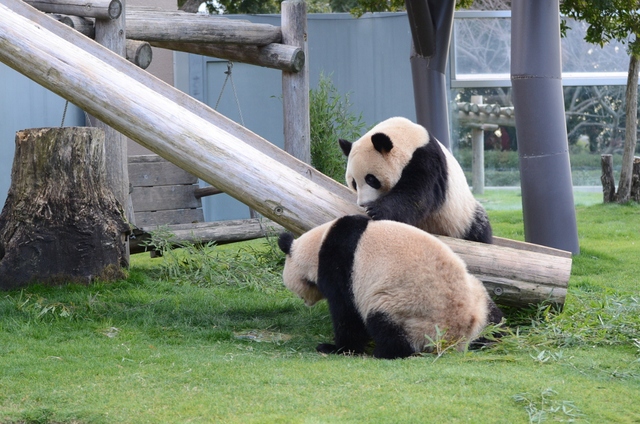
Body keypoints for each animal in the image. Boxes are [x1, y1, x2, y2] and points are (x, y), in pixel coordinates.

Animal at [278, 215, 502, 358]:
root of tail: (458, 337)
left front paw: (335, 347)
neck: (318, 244)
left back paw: (383, 351)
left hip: (410, 311)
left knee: (385, 323)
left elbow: (347, 312)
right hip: (477, 295)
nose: (305, 302)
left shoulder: (341, 265)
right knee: (495, 319)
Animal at [338, 116, 492, 243]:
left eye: (371, 179)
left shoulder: (426, 159)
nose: (363, 204)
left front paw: (376, 210)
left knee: (479, 228)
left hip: (462, 216)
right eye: (354, 183)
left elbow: (416, 195)